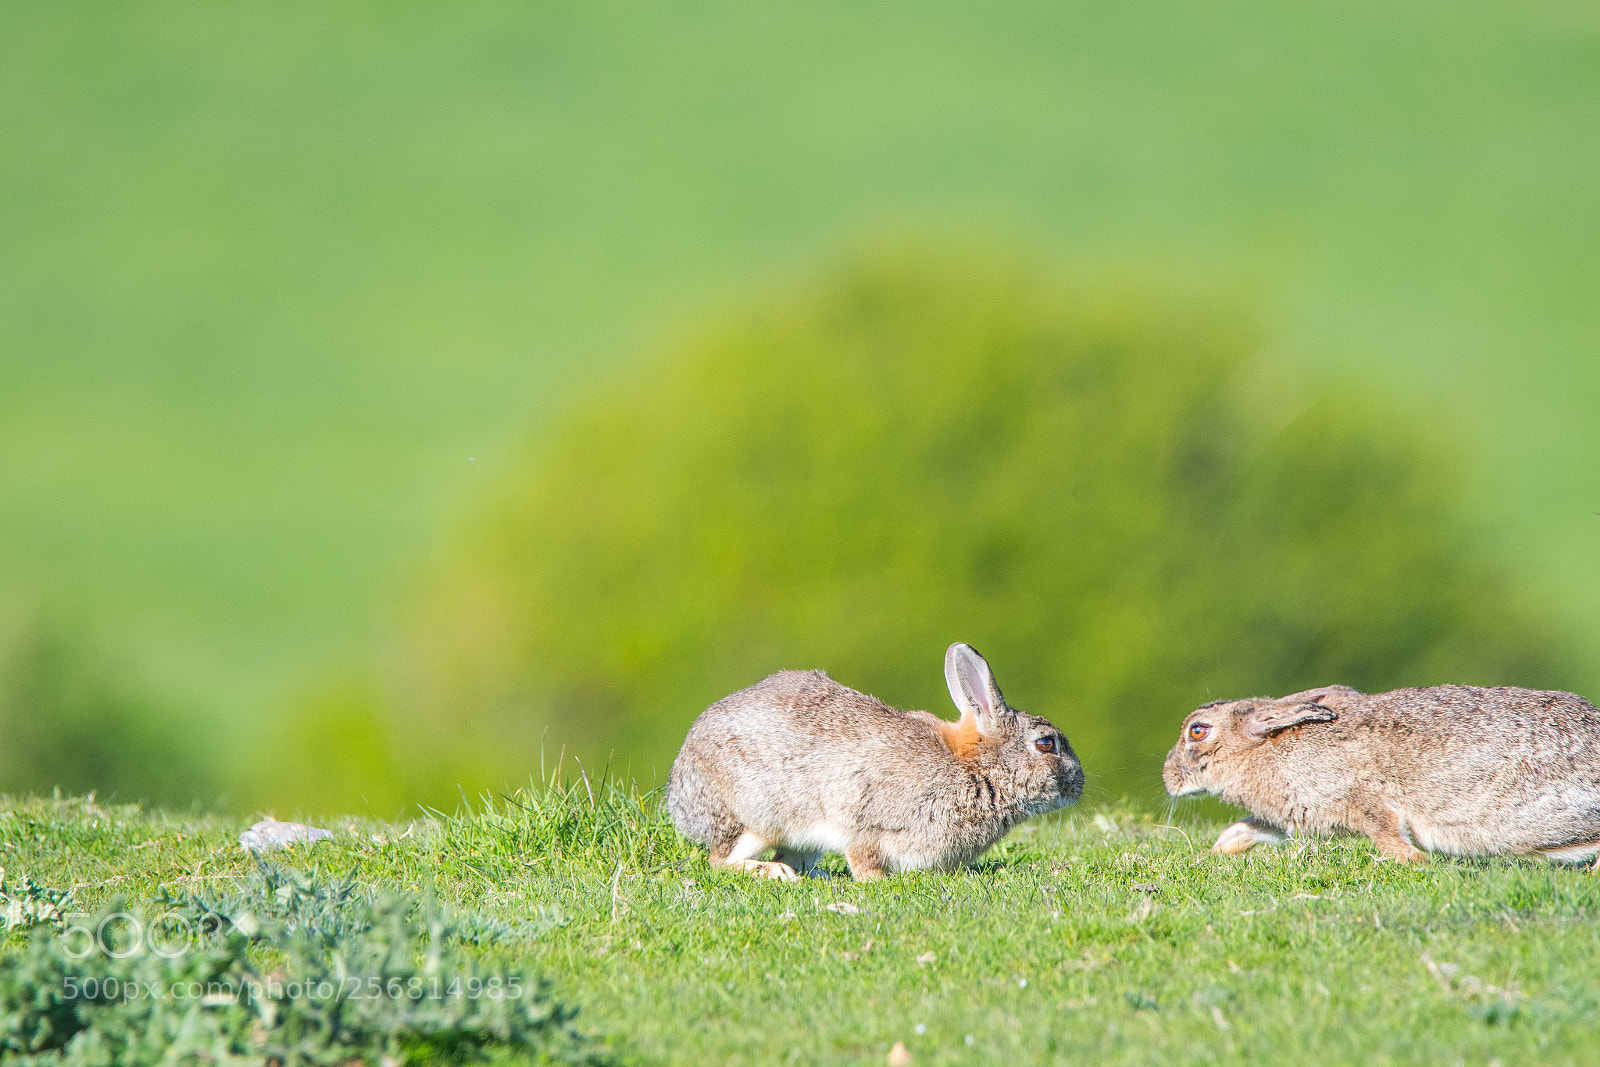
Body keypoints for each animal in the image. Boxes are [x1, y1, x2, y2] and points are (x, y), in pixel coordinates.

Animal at [666, 643, 1084, 881]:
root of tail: (679, 796)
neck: (977, 770)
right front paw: (876, 881)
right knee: (721, 861)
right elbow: (864, 856)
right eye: (1046, 744)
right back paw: (775, 873)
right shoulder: (866, 822)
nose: (1078, 785)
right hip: (757, 818)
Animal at [1163, 683, 1600, 866]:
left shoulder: (1357, 800)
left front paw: (1415, 861)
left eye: (1197, 731)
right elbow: (1249, 828)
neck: (1264, 747)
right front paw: (1217, 850)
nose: (1168, 778)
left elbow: (1387, 832)